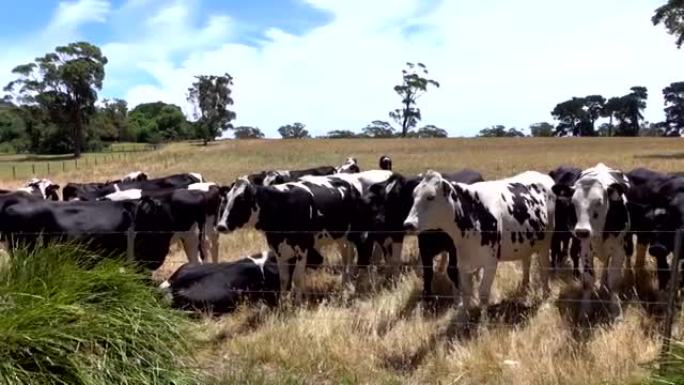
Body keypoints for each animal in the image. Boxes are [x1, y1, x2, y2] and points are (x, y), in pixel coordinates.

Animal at [216, 170, 392, 300]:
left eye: (241, 200)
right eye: (225, 199)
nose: (221, 226)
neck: (282, 205)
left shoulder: (302, 247)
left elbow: (297, 277)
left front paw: (298, 304)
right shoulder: (278, 247)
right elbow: (284, 278)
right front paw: (284, 304)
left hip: (357, 235)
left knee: (358, 259)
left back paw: (355, 287)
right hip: (341, 237)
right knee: (346, 259)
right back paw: (345, 285)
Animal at [360, 169, 484, 300]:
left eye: (398, 196)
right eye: (381, 198)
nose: (378, 220)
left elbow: (453, 271)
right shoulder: (422, 246)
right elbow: (426, 271)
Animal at [400, 170, 556, 314]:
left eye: (431, 197)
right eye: (413, 196)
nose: (408, 224)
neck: (472, 213)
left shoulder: (490, 263)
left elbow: (483, 294)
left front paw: (483, 320)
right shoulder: (462, 263)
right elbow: (466, 293)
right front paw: (463, 318)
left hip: (546, 242)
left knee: (544, 270)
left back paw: (545, 297)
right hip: (527, 244)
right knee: (526, 263)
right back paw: (524, 288)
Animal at [552, 162, 632, 318]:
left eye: (599, 202)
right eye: (573, 203)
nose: (582, 231)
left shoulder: (619, 250)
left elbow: (614, 280)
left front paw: (616, 311)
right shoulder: (585, 250)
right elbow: (588, 281)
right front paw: (585, 310)